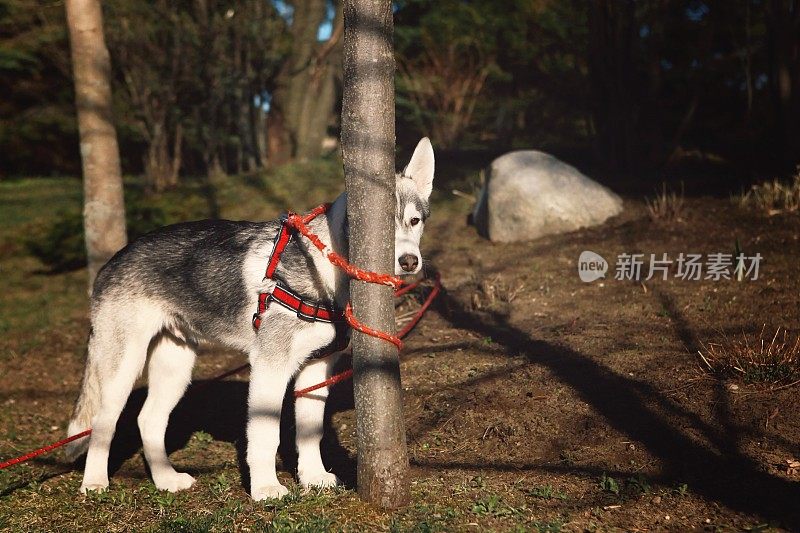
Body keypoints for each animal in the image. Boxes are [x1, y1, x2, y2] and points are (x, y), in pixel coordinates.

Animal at [65, 136, 434, 498]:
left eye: (415, 221)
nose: (409, 261)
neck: (326, 270)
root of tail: (110, 263)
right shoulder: (269, 368)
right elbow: (265, 436)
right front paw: (266, 487)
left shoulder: (315, 368)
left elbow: (310, 432)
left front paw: (313, 477)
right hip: (123, 370)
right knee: (102, 423)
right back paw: (94, 483)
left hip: (176, 367)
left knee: (149, 420)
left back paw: (166, 479)